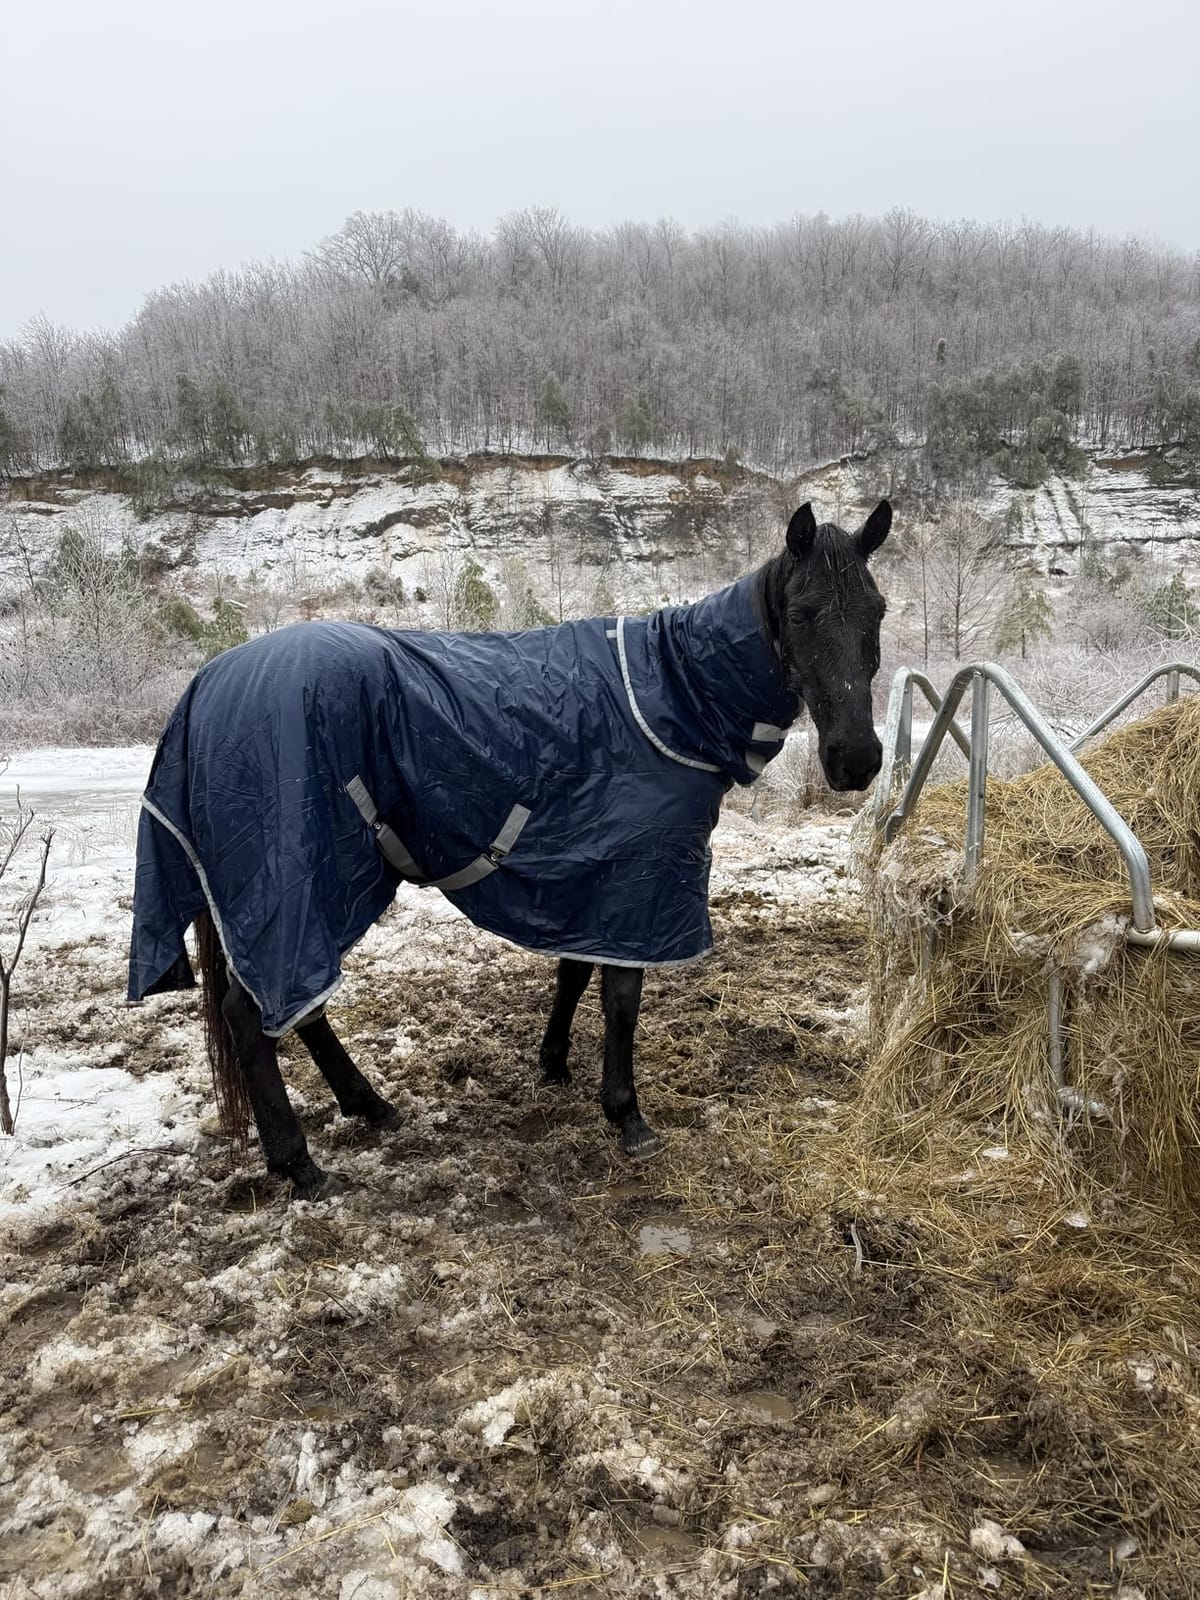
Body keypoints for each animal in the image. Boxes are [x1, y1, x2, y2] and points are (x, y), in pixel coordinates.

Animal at [129, 499, 891, 1198]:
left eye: (877, 612)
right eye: (804, 613)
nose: (857, 759)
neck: (672, 692)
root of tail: (206, 685)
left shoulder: (595, 870)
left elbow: (576, 971)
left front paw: (554, 1065)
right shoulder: (641, 878)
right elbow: (621, 996)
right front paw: (627, 1114)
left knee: (299, 1007)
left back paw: (369, 1106)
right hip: (303, 877)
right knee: (257, 1013)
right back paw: (301, 1165)